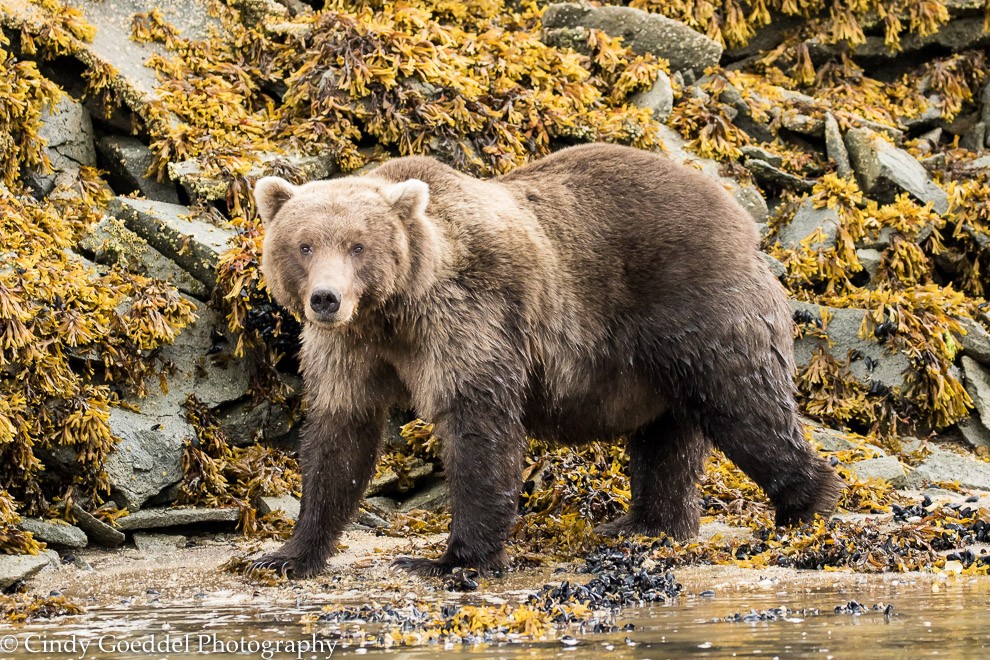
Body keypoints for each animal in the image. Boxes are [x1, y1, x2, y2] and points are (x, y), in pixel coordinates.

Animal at [252, 142, 840, 576]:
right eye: (304, 244)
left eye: (358, 245)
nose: (326, 299)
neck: (394, 309)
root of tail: (744, 223)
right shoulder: (351, 349)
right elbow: (340, 436)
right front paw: (287, 555)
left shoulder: (468, 320)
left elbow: (479, 426)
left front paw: (450, 559)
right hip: (660, 363)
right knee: (667, 440)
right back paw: (646, 526)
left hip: (697, 311)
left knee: (745, 406)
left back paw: (805, 506)